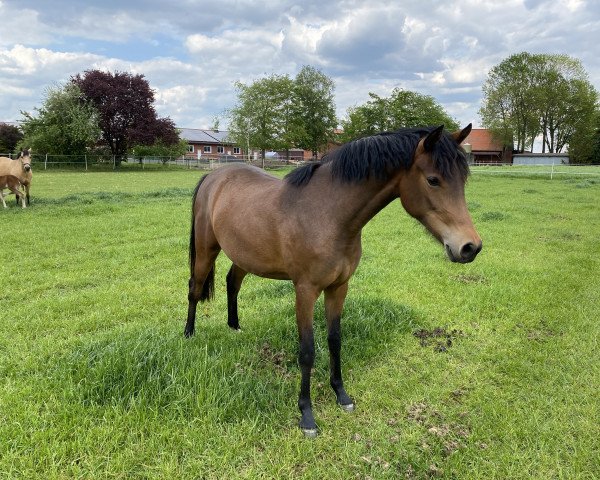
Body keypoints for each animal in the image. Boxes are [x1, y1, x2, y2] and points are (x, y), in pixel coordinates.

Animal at [186, 124, 482, 436]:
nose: (470, 247)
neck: (327, 214)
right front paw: (306, 414)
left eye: (463, 179)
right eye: (433, 180)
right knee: (194, 287)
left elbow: (335, 339)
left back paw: (234, 326)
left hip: (243, 256)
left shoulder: (339, 287)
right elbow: (307, 350)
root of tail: (213, 177)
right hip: (206, 249)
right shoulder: (305, 291)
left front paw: (341, 395)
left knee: (233, 282)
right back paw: (189, 334)